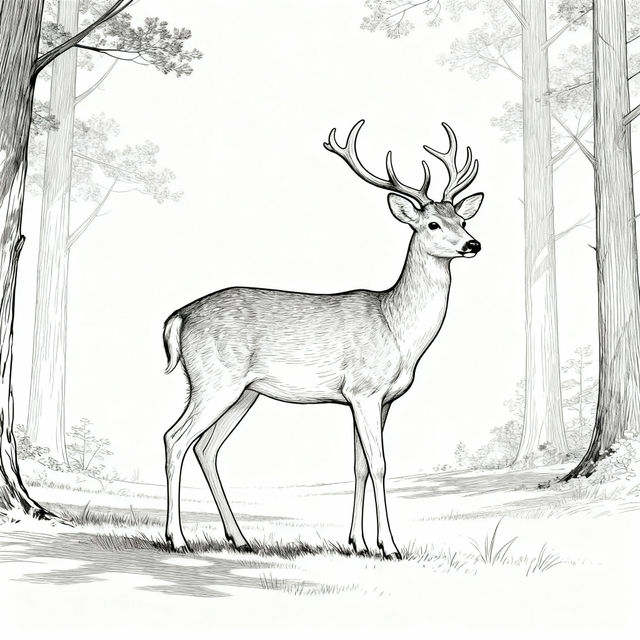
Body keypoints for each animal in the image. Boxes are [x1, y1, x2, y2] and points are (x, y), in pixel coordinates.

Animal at [162, 120, 483, 559]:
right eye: (432, 223)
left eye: (462, 220)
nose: (473, 244)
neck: (397, 328)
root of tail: (179, 316)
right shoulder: (364, 390)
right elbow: (380, 464)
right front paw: (389, 546)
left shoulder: (379, 399)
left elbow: (359, 465)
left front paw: (358, 543)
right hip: (213, 380)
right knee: (175, 439)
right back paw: (176, 538)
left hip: (244, 391)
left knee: (206, 448)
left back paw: (240, 538)